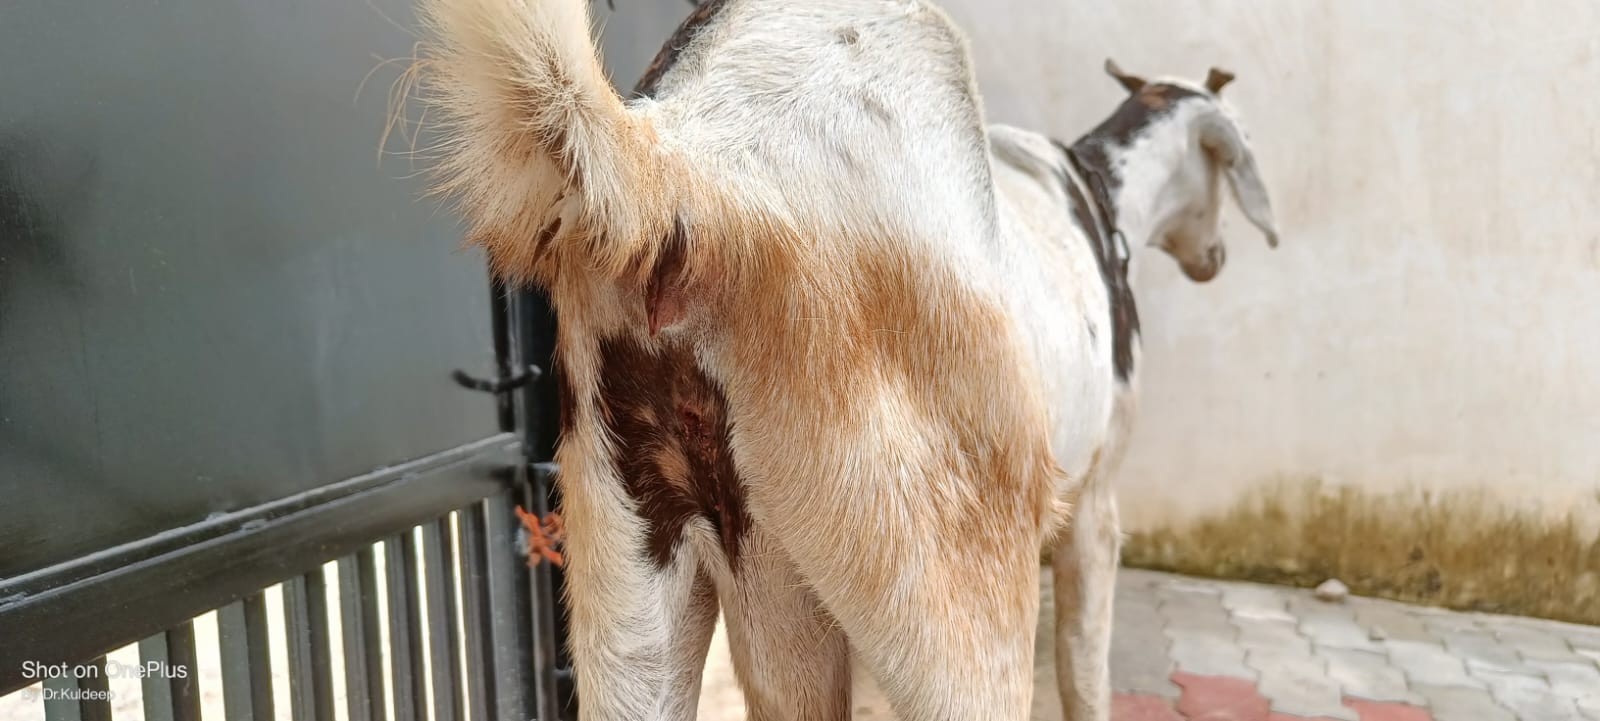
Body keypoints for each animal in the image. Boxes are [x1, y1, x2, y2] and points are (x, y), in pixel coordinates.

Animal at [419, 0, 1280, 719]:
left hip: (649, 569)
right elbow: (1086, 678)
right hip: (948, 597)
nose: (1215, 258)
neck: (1100, 192)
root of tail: (684, 167)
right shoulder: (1095, 512)